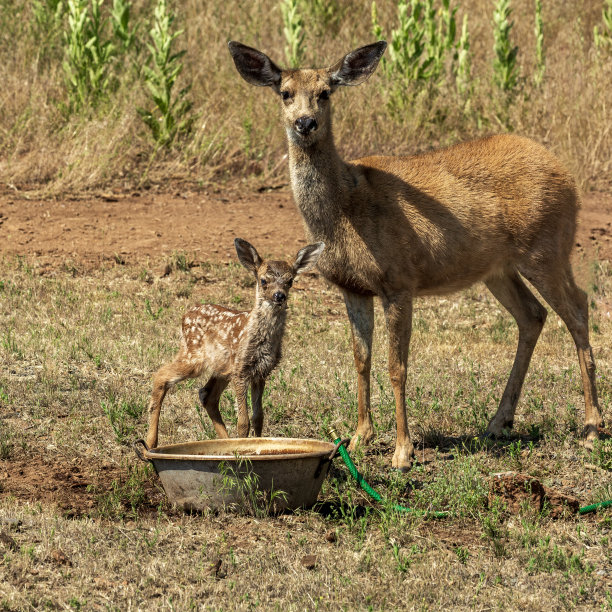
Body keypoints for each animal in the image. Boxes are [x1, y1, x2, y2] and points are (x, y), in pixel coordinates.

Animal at [228, 39, 604, 468]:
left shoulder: (399, 281)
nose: (305, 123)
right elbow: (360, 359)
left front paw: (402, 451)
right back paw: (498, 422)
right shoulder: (353, 288)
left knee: (578, 308)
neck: (345, 208)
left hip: (547, 247)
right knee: (533, 315)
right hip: (498, 268)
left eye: (325, 92)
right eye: (285, 93)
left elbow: (397, 366)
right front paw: (359, 438)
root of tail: (567, 176)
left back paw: (591, 428)